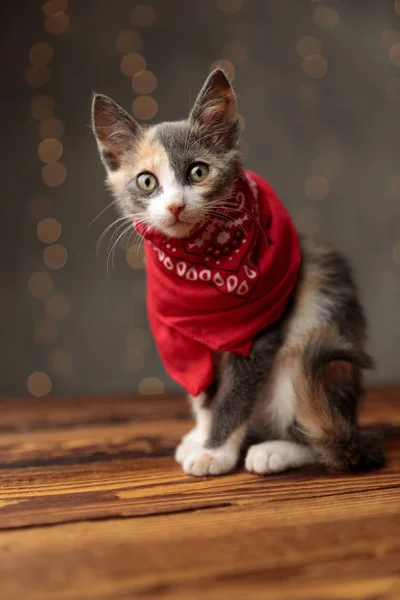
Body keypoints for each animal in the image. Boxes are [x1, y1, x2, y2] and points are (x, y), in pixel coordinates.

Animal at [91, 68, 384, 476]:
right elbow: (205, 395)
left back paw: (277, 450)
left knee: (316, 427)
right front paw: (203, 437)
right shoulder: (188, 341)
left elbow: (234, 395)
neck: (201, 266)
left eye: (198, 172)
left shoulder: (260, 335)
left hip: (309, 341)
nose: (176, 206)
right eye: (146, 181)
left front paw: (215, 453)